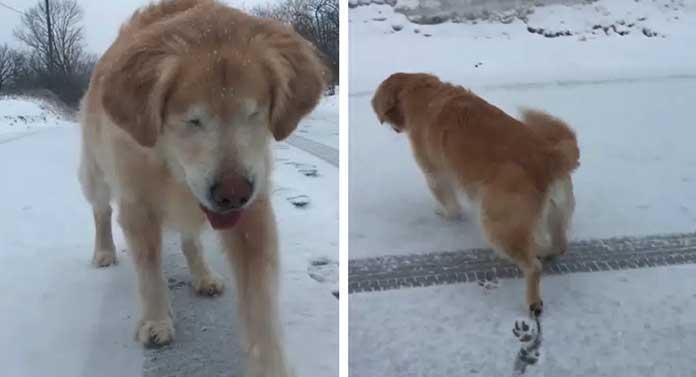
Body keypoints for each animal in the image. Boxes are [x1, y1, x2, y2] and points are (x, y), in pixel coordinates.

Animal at [77, 0, 328, 374]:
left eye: (254, 113)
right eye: (192, 120)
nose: (232, 193)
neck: (171, 165)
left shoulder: (253, 210)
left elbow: (259, 302)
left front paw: (269, 365)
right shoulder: (138, 204)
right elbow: (149, 270)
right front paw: (155, 321)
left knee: (190, 238)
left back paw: (203, 274)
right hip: (96, 174)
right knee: (101, 211)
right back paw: (104, 251)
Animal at [372, 72, 580, 314]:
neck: (420, 92)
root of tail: (549, 155)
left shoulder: (435, 173)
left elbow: (450, 204)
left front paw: (446, 213)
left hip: (498, 225)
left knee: (533, 267)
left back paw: (533, 300)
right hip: (556, 213)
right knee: (559, 245)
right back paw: (544, 250)